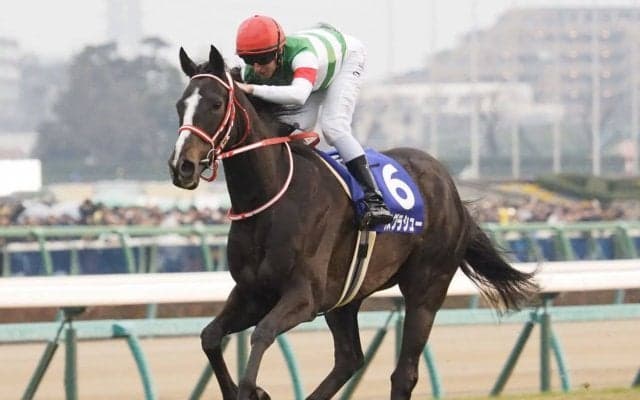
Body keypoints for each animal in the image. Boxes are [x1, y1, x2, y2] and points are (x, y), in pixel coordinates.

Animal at [168, 45, 538, 400]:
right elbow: (210, 336)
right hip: (345, 297)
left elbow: (261, 336)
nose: (181, 166)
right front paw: (247, 390)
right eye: (179, 105)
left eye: (216, 104)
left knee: (404, 373)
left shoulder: (304, 296)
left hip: (427, 286)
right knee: (349, 359)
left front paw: (254, 391)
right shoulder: (252, 292)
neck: (270, 200)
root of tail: (450, 188)